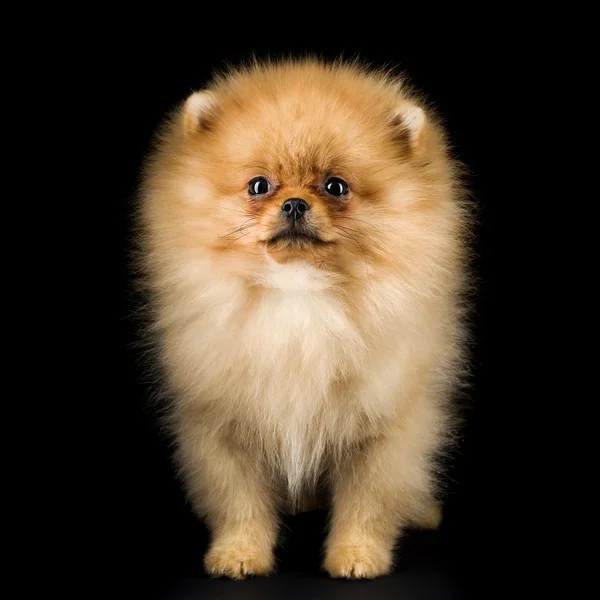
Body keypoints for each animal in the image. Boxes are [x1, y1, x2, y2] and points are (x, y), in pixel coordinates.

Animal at [136, 58, 474, 580]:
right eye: (259, 185)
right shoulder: (223, 424)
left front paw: (357, 556)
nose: (294, 203)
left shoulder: (381, 429)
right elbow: (238, 501)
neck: (299, 295)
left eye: (335, 186)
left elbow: (368, 502)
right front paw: (238, 553)